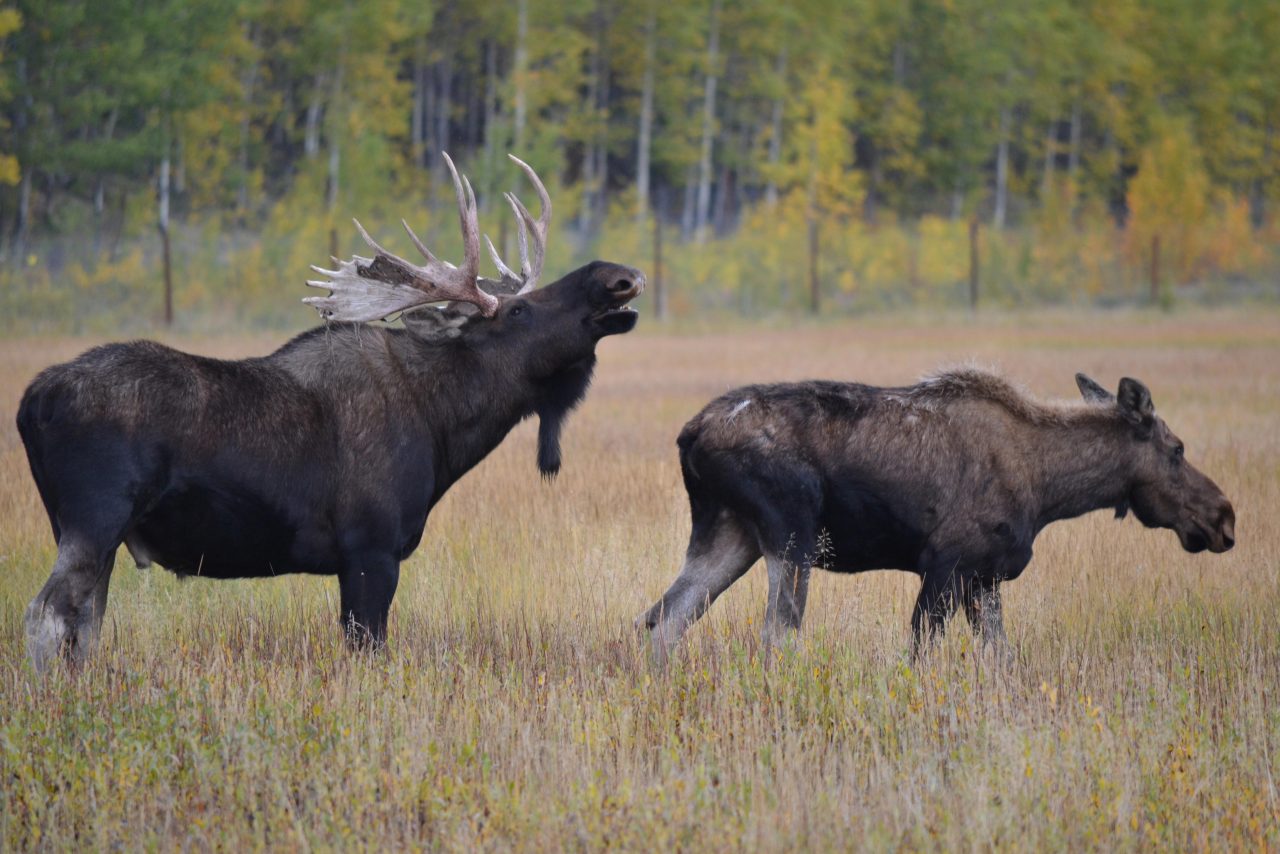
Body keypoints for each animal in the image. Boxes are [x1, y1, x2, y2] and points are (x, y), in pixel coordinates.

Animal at [18, 155, 640, 676]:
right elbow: (369, 648)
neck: (444, 427)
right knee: (45, 616)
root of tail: (30, 403)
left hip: (86, 530)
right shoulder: (370, 548)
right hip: (95, 518)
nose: (616, 276)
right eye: (518, 310)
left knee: (84, 625)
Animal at [640, 368, 1239, 660]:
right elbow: (921, 653)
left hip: (730, 534)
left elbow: (1001, 658)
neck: (1049, 490)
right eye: (1177, 449)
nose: (1224, 518)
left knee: (664, 619)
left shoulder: (985, 579)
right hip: (792, 534)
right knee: (777, 632)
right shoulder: (946, 566)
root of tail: (689, 435)